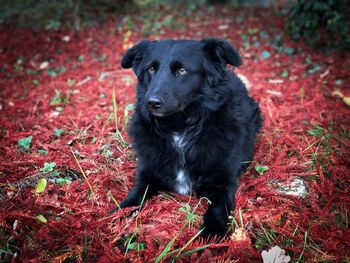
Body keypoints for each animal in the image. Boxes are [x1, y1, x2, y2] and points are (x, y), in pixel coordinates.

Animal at [117, 39, 262, 239]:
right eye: (151, 69)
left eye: (182, 70)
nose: (152, 102)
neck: (179, 127)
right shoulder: (147, 173)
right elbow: (135, 195)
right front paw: (116, 214)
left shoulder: (224, 183)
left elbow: (218, 208)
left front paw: (212, 231)